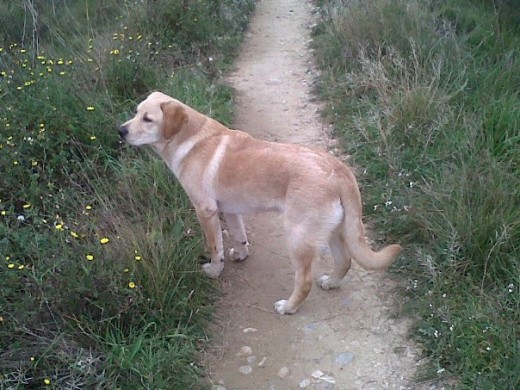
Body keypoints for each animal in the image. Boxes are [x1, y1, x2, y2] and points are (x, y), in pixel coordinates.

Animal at [119, 91, 402, 314]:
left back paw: (289, 307)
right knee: (344, 261)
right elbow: (239, 236)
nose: (120, 130)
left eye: (148, 119)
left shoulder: (205, 211)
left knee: (305, 281)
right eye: (135, 113)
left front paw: (214, 270)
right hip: (333, 230)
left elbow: (215, 247)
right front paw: (241, 254)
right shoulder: (231, 211)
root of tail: (339, 169)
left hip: (298, 237)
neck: (191, 138)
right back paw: (331, 283)